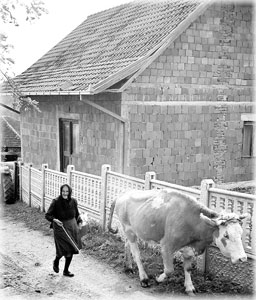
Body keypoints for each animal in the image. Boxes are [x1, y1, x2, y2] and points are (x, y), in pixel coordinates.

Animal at [107, 189, 248, 296]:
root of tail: (123, 194)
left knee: (127, 245)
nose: (242, 258)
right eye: (226, 235)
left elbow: (188, 268)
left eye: (241, 233)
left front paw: (189, 287)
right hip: (128, 229)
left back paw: (128, 267)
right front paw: (159, 279)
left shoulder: (189, 248)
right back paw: (144, 278)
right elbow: (169, 270)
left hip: (131, 230)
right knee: (136, 254)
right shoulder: (166, 246)